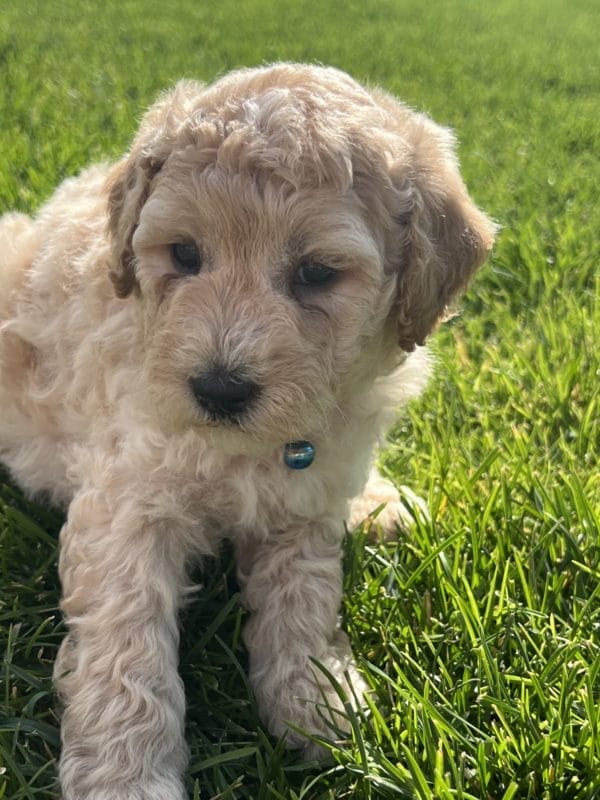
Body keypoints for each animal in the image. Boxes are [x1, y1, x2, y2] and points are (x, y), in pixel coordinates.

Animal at [0, 64, 494, 800]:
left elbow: (303, 599)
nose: (219, 388)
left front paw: (318, 710)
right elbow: (126, 645)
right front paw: (128, 774)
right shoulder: (125, 506)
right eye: (184, 254)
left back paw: (381, 503)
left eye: (316, 272)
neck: (251, 447)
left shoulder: (307, 500)